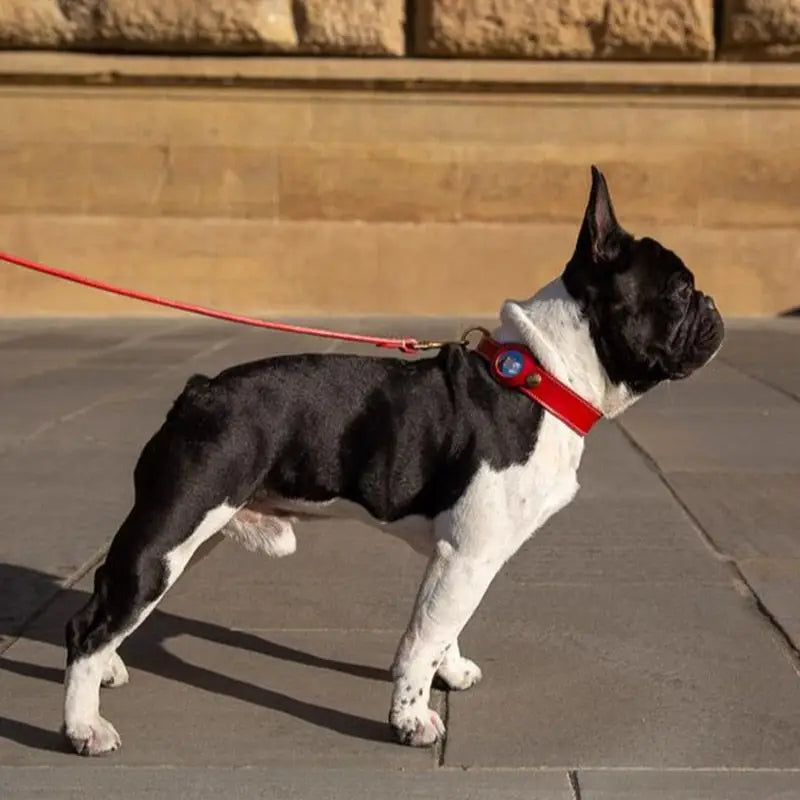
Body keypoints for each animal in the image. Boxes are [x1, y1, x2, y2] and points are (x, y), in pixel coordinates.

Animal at [62, 167, 724, 756]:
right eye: (680, 291)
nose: (713, 304)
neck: (546, 378)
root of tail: (198, 392)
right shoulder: (469, 553)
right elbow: (420, 641)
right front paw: (411, 719)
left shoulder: (461, 560)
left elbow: (445, 627)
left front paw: (449, 674)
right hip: (175, 527)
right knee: (92, 625)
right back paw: (82, 726)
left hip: (197, 530)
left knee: (111, 603)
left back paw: (107, 673)